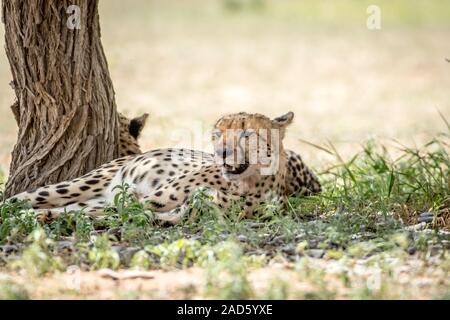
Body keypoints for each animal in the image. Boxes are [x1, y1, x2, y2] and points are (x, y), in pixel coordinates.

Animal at [9, 112, 320, 222]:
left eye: (246, 133)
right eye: (217, 134)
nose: (222, 152)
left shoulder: (177, 212)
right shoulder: (148, 200)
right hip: (79, 185)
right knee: (17, 199)